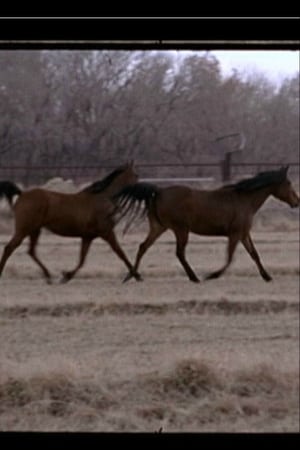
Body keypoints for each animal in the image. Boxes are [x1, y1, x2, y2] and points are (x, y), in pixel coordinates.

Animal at [0, 162, 142, 282]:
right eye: (136, 175)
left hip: (35, 230)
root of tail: (22, 194)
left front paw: (66, 275)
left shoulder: (87, 237)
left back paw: (48, 275)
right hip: (24, 230)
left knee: (31, 251)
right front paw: (136, 275)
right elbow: (121, 253)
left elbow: (82, 259)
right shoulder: (107, 233)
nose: (142, 190)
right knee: (9, 248)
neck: (101, 200)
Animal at [113, 167, 298, 284]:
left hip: (159, 227)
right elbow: (230, 257)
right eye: (289, 183)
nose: (297, 201)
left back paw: (132, 276)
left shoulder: (244, 233)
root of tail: (158, 191)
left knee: (143, 247)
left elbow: (254, 254)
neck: (245, 200)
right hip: (181, 229)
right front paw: (212, 275)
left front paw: (267, 276)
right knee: (179, 253)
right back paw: (194, 277)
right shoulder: (235, 233)